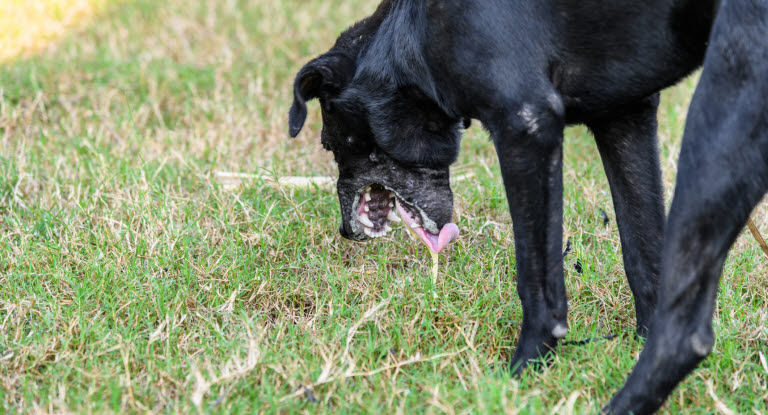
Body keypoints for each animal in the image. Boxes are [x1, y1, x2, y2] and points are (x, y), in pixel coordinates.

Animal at [290, 1, 768, 414]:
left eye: (330, 143)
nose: (345, 231)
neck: (413, 32)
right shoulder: (625, 116)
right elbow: (644, 257)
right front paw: (634, 343)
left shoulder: (526, 127)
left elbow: (537, 282)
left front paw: (522, 373)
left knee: (686, 334)